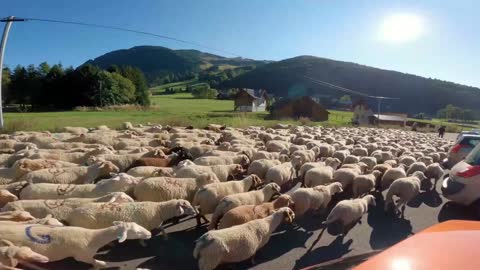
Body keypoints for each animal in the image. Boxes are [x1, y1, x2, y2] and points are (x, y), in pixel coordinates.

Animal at [0, 221, 151, 268]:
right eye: (136, 232)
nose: (149, 234)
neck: (93, 237)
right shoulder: (83, 256)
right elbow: (96, 262)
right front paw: (102, 264)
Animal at [66, 199, 197, 235]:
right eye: (185, 206)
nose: (195, 212)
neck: (158, 210)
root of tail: (72, 214)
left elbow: (162, 228)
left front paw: (165, 236)